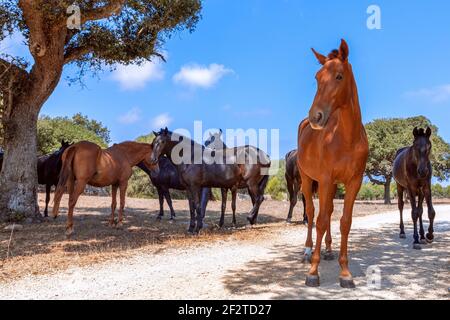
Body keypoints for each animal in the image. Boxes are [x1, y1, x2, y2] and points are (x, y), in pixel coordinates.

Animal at [298, 39, 368, 288]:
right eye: (317, 77)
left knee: (328, 212)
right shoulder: (325, 179)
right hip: (308, 179)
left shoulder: (352, 182)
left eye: (339, 76)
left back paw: (328, 250)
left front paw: (345, 273)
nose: (316, 117)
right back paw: (308, 251)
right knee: (311, 212)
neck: (346, 138)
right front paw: (312, 272)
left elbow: (344, 222)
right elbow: (319, 220)